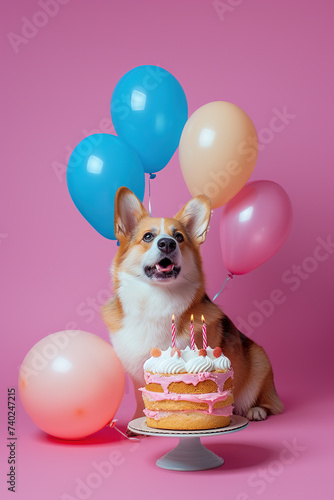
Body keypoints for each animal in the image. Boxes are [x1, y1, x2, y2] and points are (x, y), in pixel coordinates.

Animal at [101, 188, 282, 422]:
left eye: (179, 237)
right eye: (148, 236)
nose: (167, 243)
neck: (157, 296)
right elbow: (142, 400)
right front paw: (137, 421)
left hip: (260, 361)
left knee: (269, 401)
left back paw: (257, 410)